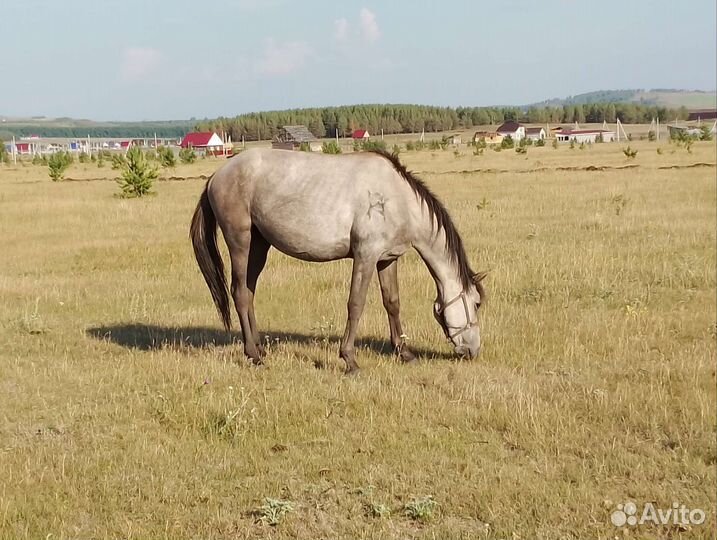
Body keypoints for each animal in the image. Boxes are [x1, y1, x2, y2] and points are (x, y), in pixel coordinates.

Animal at [190, 148, 486, 373]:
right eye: (477, 303)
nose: (473, 350)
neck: (397, 199)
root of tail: (216, 175)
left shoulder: (387, 259)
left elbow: (392, 303)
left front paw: (404, 353)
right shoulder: (366, 255)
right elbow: (355, 304)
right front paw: (349, 359)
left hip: (259, 244)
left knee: (249, 291)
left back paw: (260, 348)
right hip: (239, 241)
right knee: (240, 293)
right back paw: (253, 355)